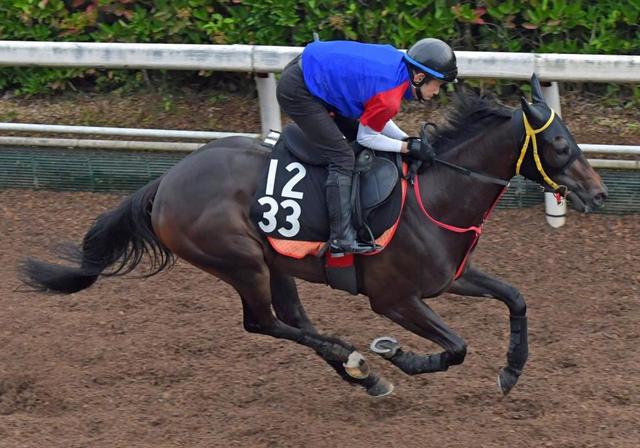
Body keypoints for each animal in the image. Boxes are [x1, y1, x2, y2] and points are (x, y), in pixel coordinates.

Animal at [19, 75, 607, 398]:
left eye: (572, 138)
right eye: (559, 144)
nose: (599, 194)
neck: (435, 195)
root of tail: (164, 182)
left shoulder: (449, 278)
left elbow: (516, 298)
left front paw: (511, 370)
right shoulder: (393, 299)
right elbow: (457, 347)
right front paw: (399, 355)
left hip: (274, 261)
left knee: (293, 320)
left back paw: (361, 373)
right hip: (241, 261)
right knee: (263, 323)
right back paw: (360, 362)